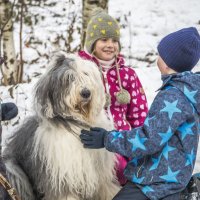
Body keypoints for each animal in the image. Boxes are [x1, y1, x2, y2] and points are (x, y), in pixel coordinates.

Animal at [3, 52, 119, 200]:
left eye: (86, 74)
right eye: (69, 78)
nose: (86, 93)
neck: (76, 123)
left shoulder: (100, 172)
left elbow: (107, 187)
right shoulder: (62, 176)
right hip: (12, 168)